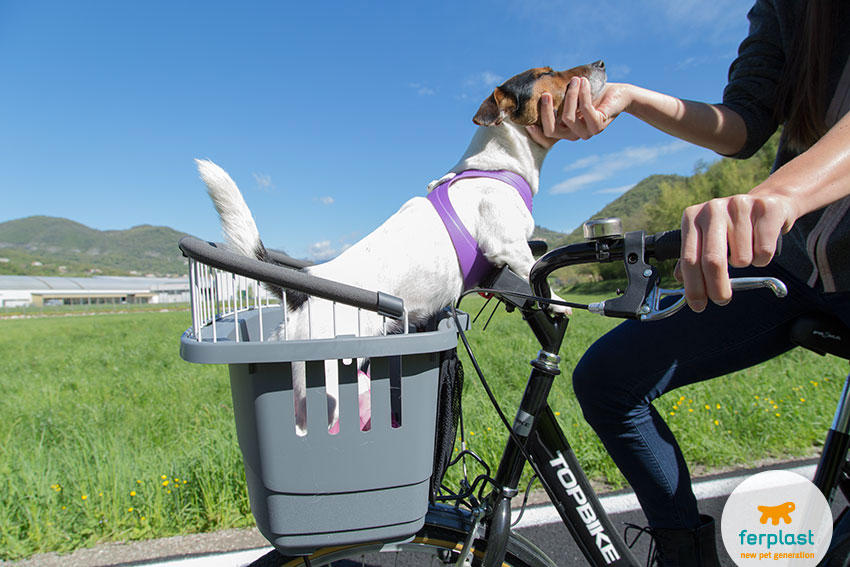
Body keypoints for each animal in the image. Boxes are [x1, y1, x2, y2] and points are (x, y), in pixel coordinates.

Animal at [197, 61, 608, 434]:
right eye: (545, 73)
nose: (602, 63)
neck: (496, 166)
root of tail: (304, 289)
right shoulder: (508, 246)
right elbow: (534, 271)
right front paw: (558, 301)